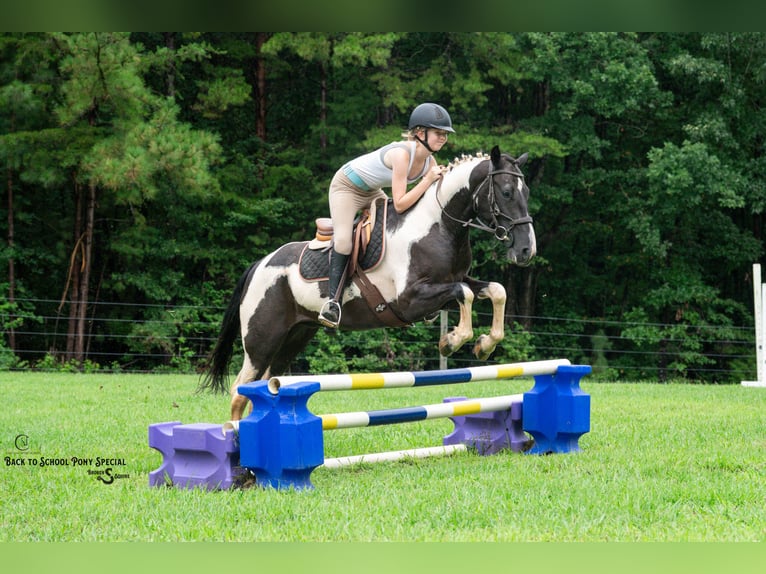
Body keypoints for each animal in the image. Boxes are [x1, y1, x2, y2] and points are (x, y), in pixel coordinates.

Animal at [200, 145, 536, 422]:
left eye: (527, 192)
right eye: (507, 192)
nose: (526, 250)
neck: (439, 225)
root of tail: (259, 265)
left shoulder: (453, 280)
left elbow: (495, 291)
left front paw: (484, 344)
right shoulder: (410, 300)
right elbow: (464, 294)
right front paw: (451, 341)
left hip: (295, 336)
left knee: (264, 387)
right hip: (261, 341)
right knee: (239, 391)